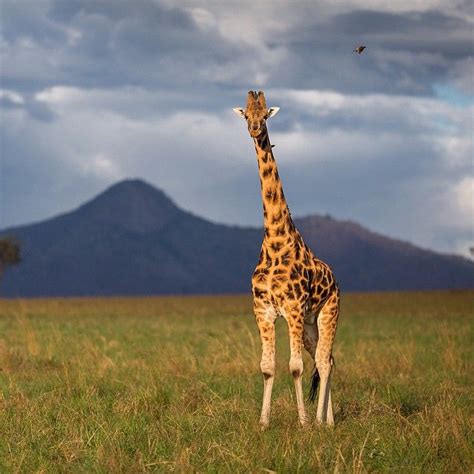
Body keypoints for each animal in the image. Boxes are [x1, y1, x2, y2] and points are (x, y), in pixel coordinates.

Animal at [234, 90, 340, 428]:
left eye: (266, 114)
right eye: (246, 115)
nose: (254, 129)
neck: (276, 241)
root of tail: (335, 278)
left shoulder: (293, 308)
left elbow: (295, 367)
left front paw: (303, 422)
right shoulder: (263, 310)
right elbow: (267, 367)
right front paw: (264, 423)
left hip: (328, 311)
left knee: (323, 360)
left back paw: (321, 422)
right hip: (309, 323)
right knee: (325, 357)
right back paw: (328, 420)